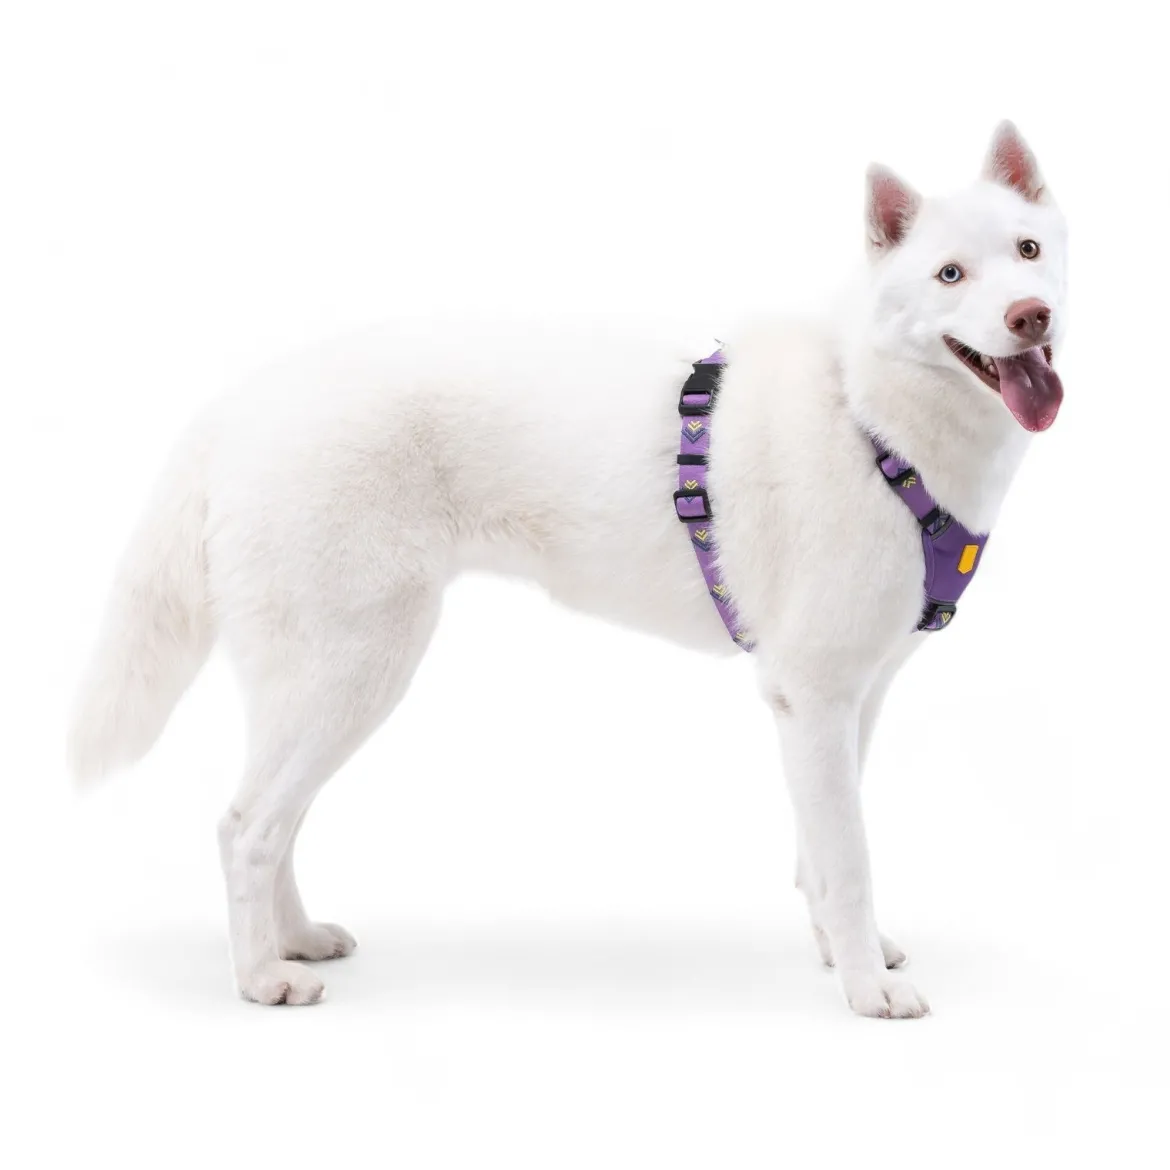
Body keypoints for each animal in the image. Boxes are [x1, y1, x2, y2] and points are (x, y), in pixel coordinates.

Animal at [69, 122, 1067, 1016]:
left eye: (1028, 250)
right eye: (949, 275)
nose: (1031, 316)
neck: (871, 416)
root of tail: (242, 402)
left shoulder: (851, 699)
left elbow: (819, 855)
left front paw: (840, 953)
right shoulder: (813, 696)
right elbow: (849, 858)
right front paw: (864, 989)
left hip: (321, 682)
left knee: (275, 818)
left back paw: (293, 939)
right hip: (352, 667)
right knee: (246, 827)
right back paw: (260, 979)